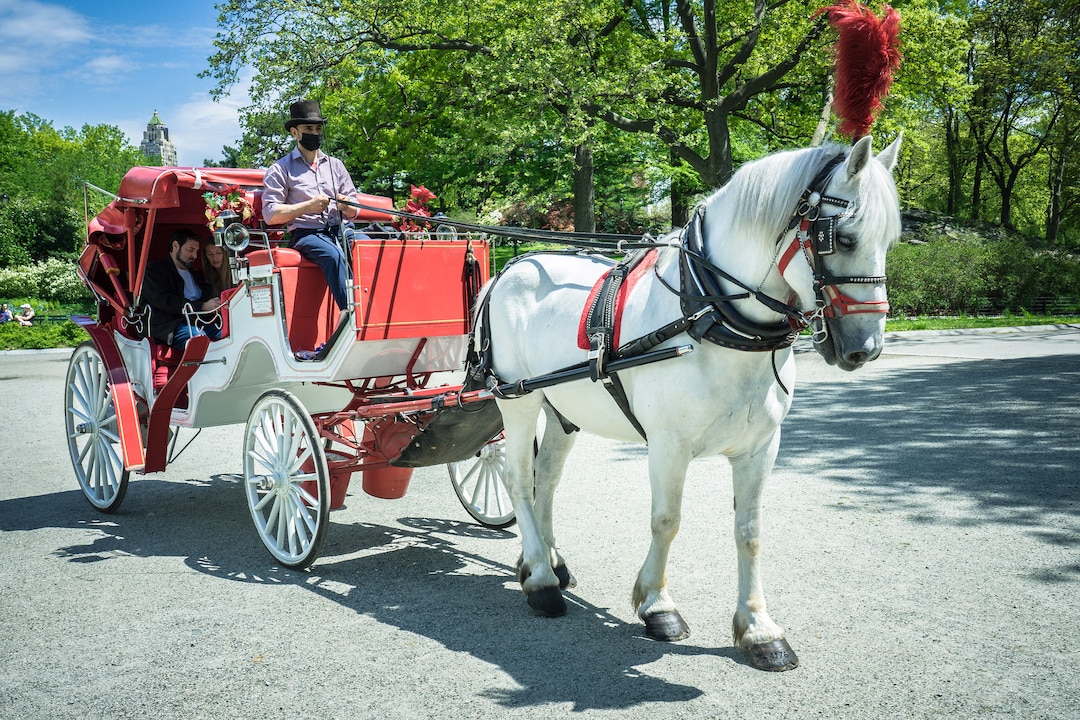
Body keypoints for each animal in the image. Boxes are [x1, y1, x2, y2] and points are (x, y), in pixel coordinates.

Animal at [476, 134, 902, 671]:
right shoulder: (668, 446)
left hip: (562, 409)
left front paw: (759, 628)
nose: (866, 347)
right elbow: (666, 521)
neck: (708, 314)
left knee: (545, 480)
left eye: (890, 242)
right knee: (517, 479)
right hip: (518, 399)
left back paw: (549, 562)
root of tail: (510, 268)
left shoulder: (762, 447)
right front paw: (657, 604)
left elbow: (750, 529)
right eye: (842, 239)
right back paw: (540, 580)